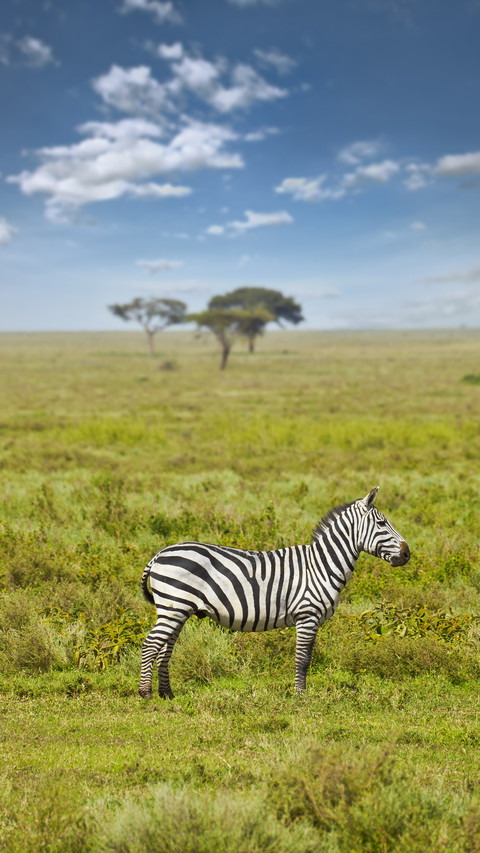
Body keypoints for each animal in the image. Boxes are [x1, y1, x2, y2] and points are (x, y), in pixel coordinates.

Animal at [138, 486, 410, 698]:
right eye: (382, 523)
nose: (407, 554)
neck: (321, 565)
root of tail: (159, 554)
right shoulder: (307, 615)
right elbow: (303, 658)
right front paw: (300, 695)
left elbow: (306, 657)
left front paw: (300, 692)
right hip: (174, 606)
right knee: (151, 644)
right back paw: (146, 694)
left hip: (179, 610)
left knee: (165, 648)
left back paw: (167, 694)